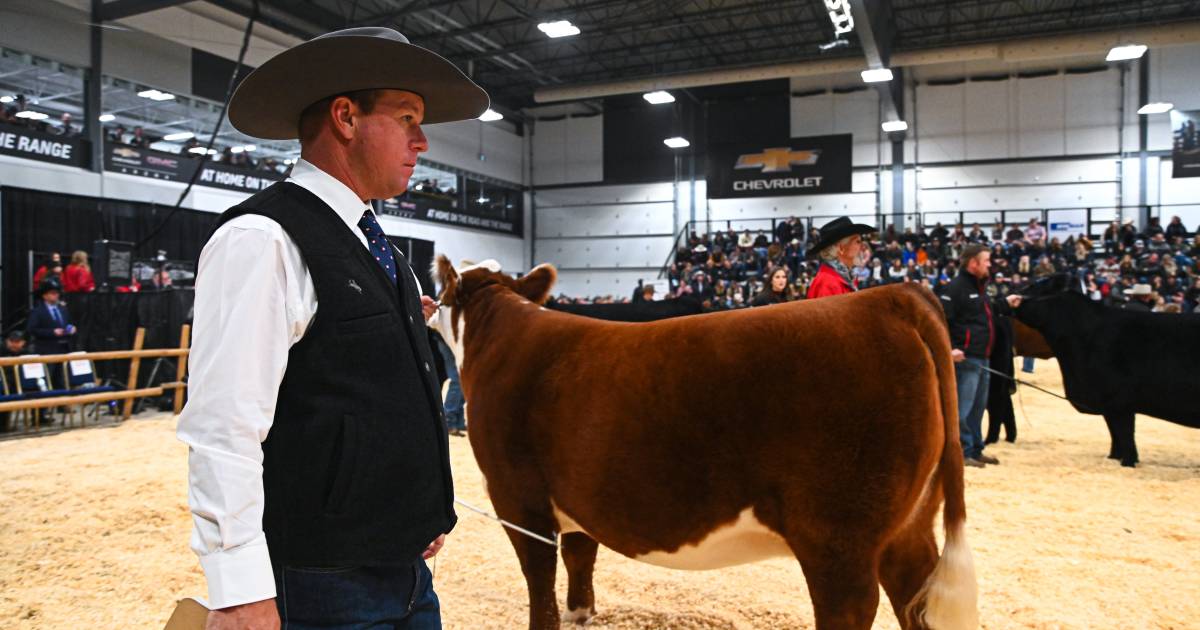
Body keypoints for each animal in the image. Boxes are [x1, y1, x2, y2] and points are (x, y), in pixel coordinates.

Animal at [1012, 272, 1200, 463]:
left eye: (1039, 286)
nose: (1012, 296)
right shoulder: (1108, 404)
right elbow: (1114, 433)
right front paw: (1113, 457)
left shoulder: (1120, 402)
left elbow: (1124, 434)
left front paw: (1128, 461)